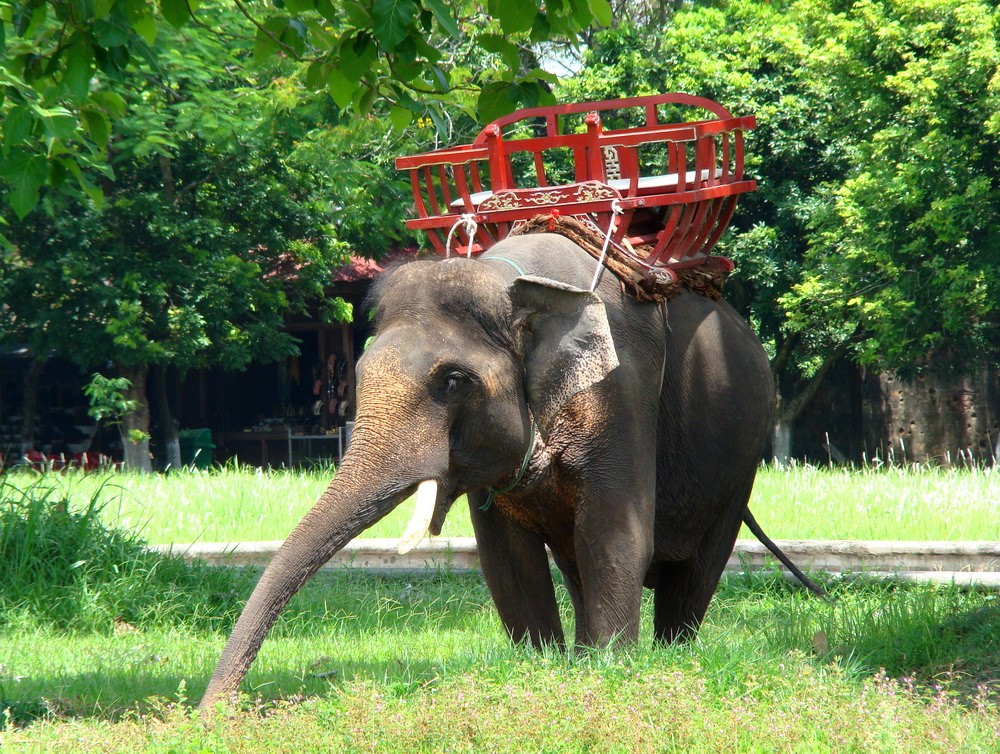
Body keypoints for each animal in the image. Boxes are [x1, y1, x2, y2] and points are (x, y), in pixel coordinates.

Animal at [200, 232, 819, 707]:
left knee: (695, 567)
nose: (215, 714)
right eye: (358, 370)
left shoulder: (623, 392)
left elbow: (613, 537)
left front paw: (608, 672)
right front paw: (547, 668)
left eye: (452, 381)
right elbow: (506, 557)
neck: (513, 280)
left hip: (740, 462)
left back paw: (672, 656)